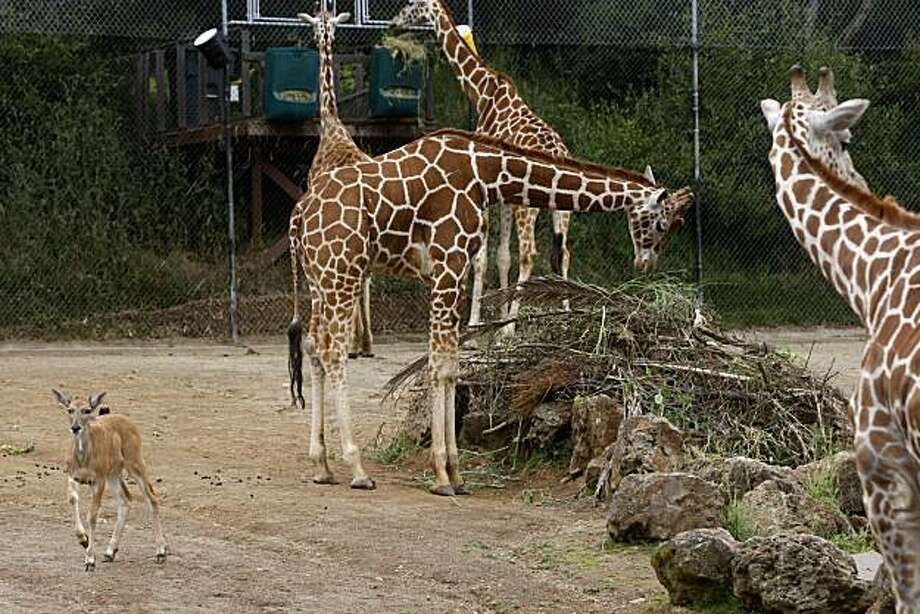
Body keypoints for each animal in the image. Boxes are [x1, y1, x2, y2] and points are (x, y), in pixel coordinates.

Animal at [53, 390, 168, 572]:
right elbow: (72, 499)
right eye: (70, 409)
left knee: (152, 497)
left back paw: (161, 552)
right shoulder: (72, 476)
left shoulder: (98, 481)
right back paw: (109, 552)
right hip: (114, 474)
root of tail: (129, 423)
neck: (83, 458)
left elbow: (92, 515)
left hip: (134, 463)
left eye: (87, 410)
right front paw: (83, 539)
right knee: (125, 500)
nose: (75, 427)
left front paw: (90, 560)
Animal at [288, 126, 688, 496]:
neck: (488, 174)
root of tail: (298, 217)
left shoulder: (452, 271)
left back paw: (322, 465)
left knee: (313, 347)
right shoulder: (448, 263)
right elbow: (441, 368)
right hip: (342, 271)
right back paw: (357, 468)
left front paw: (457, 474)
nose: (646, 264)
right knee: (334, 353)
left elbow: (450, 366)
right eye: (661, 223)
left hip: (319, 278)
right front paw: (442, 474)